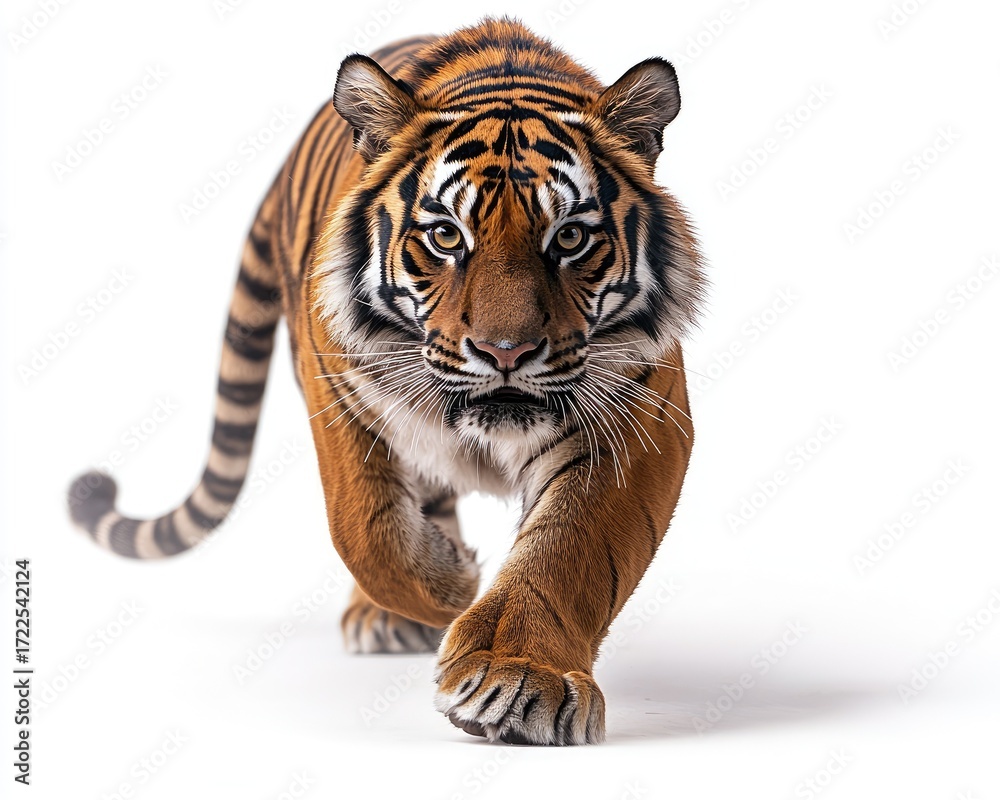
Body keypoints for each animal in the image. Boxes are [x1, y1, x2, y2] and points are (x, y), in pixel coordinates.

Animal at [67, 18, 705, 745]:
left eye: (570, 238)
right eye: (446, 236)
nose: (506, 351)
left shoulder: (636, 419)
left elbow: (566, 553)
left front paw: (514, 680)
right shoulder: (337, 386)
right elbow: (366, 530)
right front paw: (453, 583)